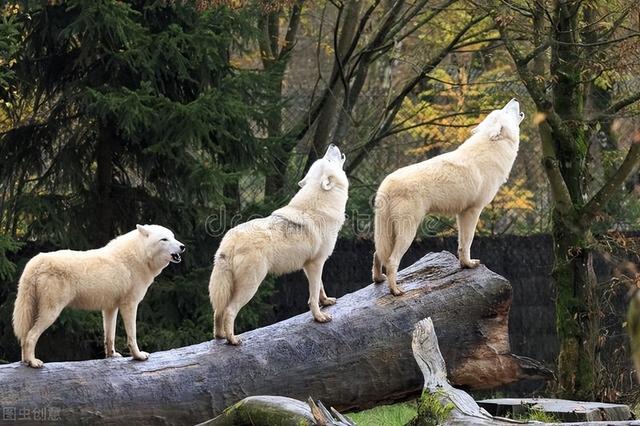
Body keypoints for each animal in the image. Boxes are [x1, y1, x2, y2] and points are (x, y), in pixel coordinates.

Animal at [12, 225, 184, 368]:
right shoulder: (130, 305)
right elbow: (132, 336)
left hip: (33, 312)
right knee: (30, 337)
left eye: (173, 236)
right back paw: (34, 363)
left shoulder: (110, 308)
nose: (183, 246)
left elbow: (109, 337)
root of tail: (35, 262)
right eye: (164, 239)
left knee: (24, 337)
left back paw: (26, 361)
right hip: (51, 313)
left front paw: (112, 356)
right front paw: (138, 356)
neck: (139, 256)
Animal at [209, 145, 350, 344]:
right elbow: (313, 296)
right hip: (251, 286)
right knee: (229, 311)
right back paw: (233, 340)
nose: (331, 145)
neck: (320, 204)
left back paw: (220, 336)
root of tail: (229, 240)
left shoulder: (312, 265)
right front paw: (319, 317)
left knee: (217, 311)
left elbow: (320, 288)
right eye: (328, 159)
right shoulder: (316, 264)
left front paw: (326, 302)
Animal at [372, 98, 524, 294]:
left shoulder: (462, 213)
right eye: (505, 111)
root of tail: (386, 184)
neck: (494, 149)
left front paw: (465, 265)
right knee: (391, 260)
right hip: (408, 231)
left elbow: (461, 244)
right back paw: (396, 291)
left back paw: (378, 280)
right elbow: (468, 241)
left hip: (387, 233)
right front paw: (469, 264)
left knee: (377, 253)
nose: (514, 99)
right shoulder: (473, 211)